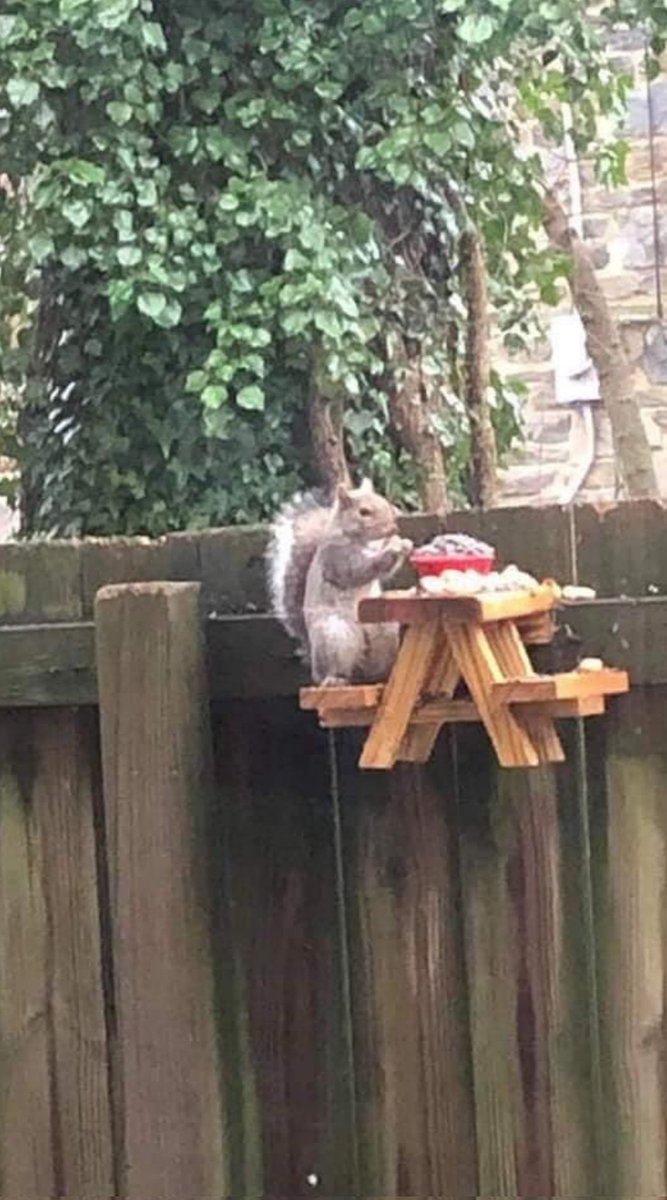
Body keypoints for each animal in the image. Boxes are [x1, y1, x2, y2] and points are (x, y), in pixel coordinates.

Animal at [267, 479, 413, 685]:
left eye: (384, 500)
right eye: (363, 512)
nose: (393, 527)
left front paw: (402, 543)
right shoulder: (336, 557)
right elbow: (358, 570)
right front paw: (392, 548)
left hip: (384, 630)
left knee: (371, 670)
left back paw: (381, 673)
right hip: (334, 636)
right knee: (335, 670)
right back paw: (335, 679)